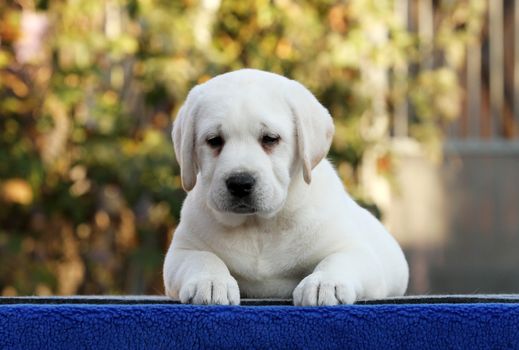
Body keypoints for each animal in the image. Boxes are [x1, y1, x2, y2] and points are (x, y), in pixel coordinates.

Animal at [165, 69, 408, 304]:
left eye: (270, 138)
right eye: (214, 140)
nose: (240, 183)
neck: (258, 226)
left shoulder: (355, 250)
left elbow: (337, 260)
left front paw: (324, 283)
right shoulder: (181, 252)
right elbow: (202, 257)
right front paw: (210, 281)